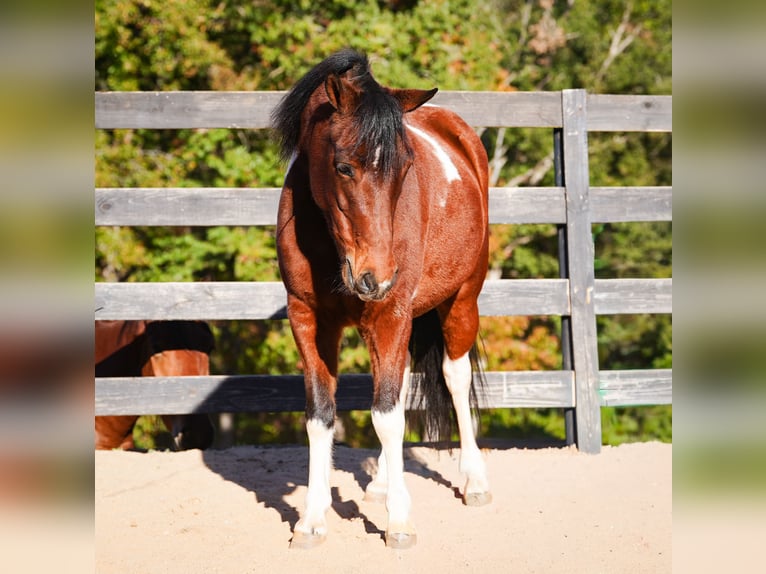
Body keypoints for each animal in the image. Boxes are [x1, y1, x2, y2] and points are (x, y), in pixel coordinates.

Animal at [273, 49, 491, 549]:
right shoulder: (307, 320)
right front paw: (311, 520)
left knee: (455, 376)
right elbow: (321, 416)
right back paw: (382, 482)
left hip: (461, 298)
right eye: (343, 167)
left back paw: (474, 480)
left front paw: (400, 523)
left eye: (405, 169)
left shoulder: (391, 314)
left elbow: (388, 417)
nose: (376, 276)